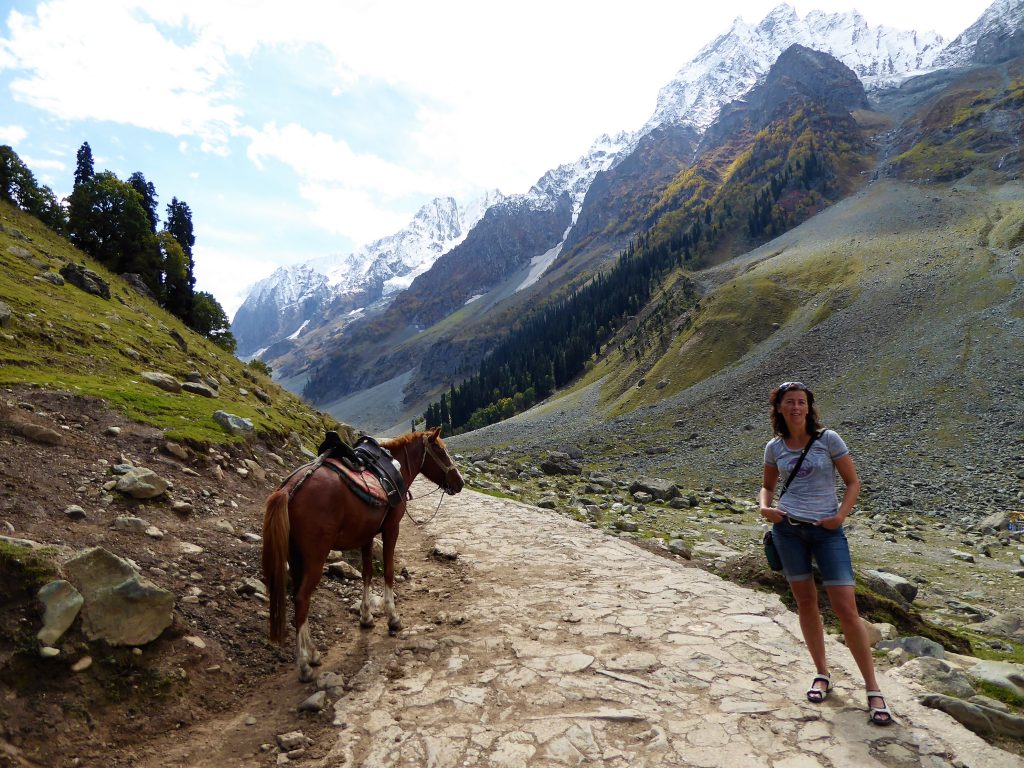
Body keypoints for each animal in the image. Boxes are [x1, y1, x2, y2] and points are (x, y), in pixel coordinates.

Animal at [260, 430, 464, 684]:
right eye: (440, 451)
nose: (459, 482)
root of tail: (288, 489)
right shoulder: (391, 529)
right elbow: (388, 571)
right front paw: (393, 618)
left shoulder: (366, 536)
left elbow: (367, 573)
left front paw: (366, 617)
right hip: (315, 558)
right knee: (301, 599)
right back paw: (305, 665)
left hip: (296, 558)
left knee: (297, 597)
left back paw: (313, 653)